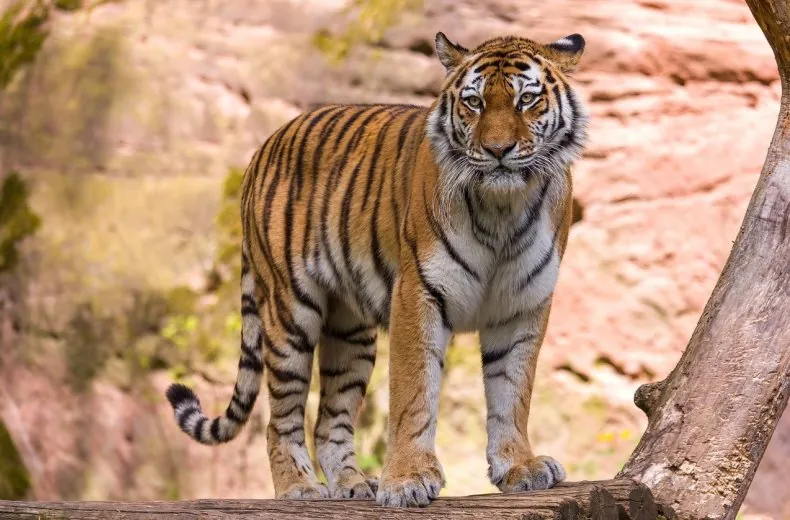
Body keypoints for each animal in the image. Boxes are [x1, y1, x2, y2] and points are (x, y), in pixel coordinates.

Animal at [165, 31, 588, 507]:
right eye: (474, 102)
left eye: (527, 100)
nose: (498, 151)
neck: (504, 208)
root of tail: (261, 150)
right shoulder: (418, 292)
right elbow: (414, 392)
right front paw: (406, 480)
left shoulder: (523, 303)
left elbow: (512, 391)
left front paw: (520, 467)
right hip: (289, 314)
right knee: (280, 419)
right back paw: (299, 488)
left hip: (350, 332)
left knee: (329, 420)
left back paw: (352, 484)